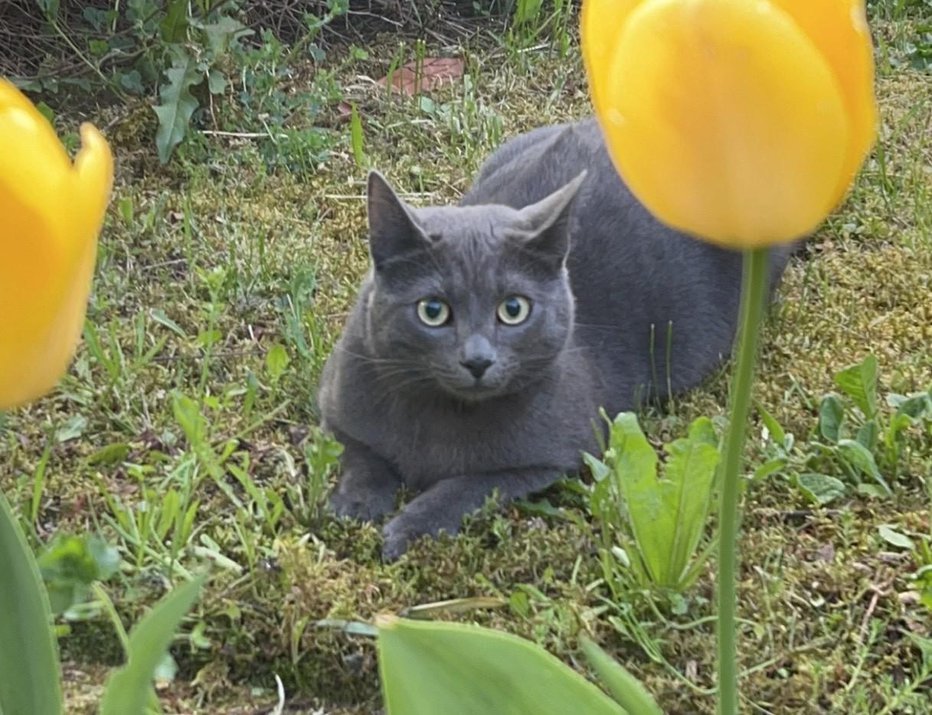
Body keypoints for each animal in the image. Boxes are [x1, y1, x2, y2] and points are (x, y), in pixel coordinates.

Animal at [320, 120, 792, 564]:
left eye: (513, 309)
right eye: (432, 310)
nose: (477, 360)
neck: (444, 415)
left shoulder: (558, 453)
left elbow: (469, 486)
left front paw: (410, 527)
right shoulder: (337, 397)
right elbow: (361, 453)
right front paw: (354, 505)